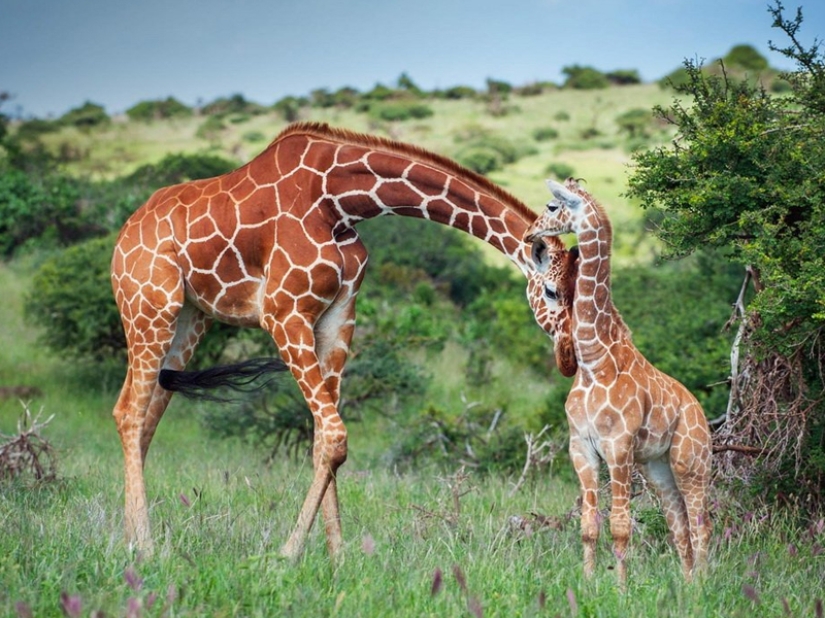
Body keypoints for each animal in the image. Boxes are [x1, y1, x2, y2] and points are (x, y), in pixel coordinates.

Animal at [110, 122, 577, 563]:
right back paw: (145, 546)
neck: (339, 201)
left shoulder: (338, 316)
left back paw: (128, 539)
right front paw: (288, 553)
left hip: (189, 319)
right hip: (148, 307)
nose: (570, 358)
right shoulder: (284, 313)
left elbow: (323, 439)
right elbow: (335, 435)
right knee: (129, 412)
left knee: (143, 415)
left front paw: (338, 556)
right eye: (552, 292)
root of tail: (124, 234)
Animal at [524, 178, 712, 584]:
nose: (531, 234)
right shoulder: (581, 448)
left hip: (691, 461)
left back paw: (704, 584)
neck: (595, 360)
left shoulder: (619, 448)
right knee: (679, 525)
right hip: (658, 467)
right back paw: (687, 584)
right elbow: (589, 525)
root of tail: (701, 412)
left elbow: (621, 526)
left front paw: (621, 588)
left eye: (552, 206)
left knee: (701, 524)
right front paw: (589, 582)